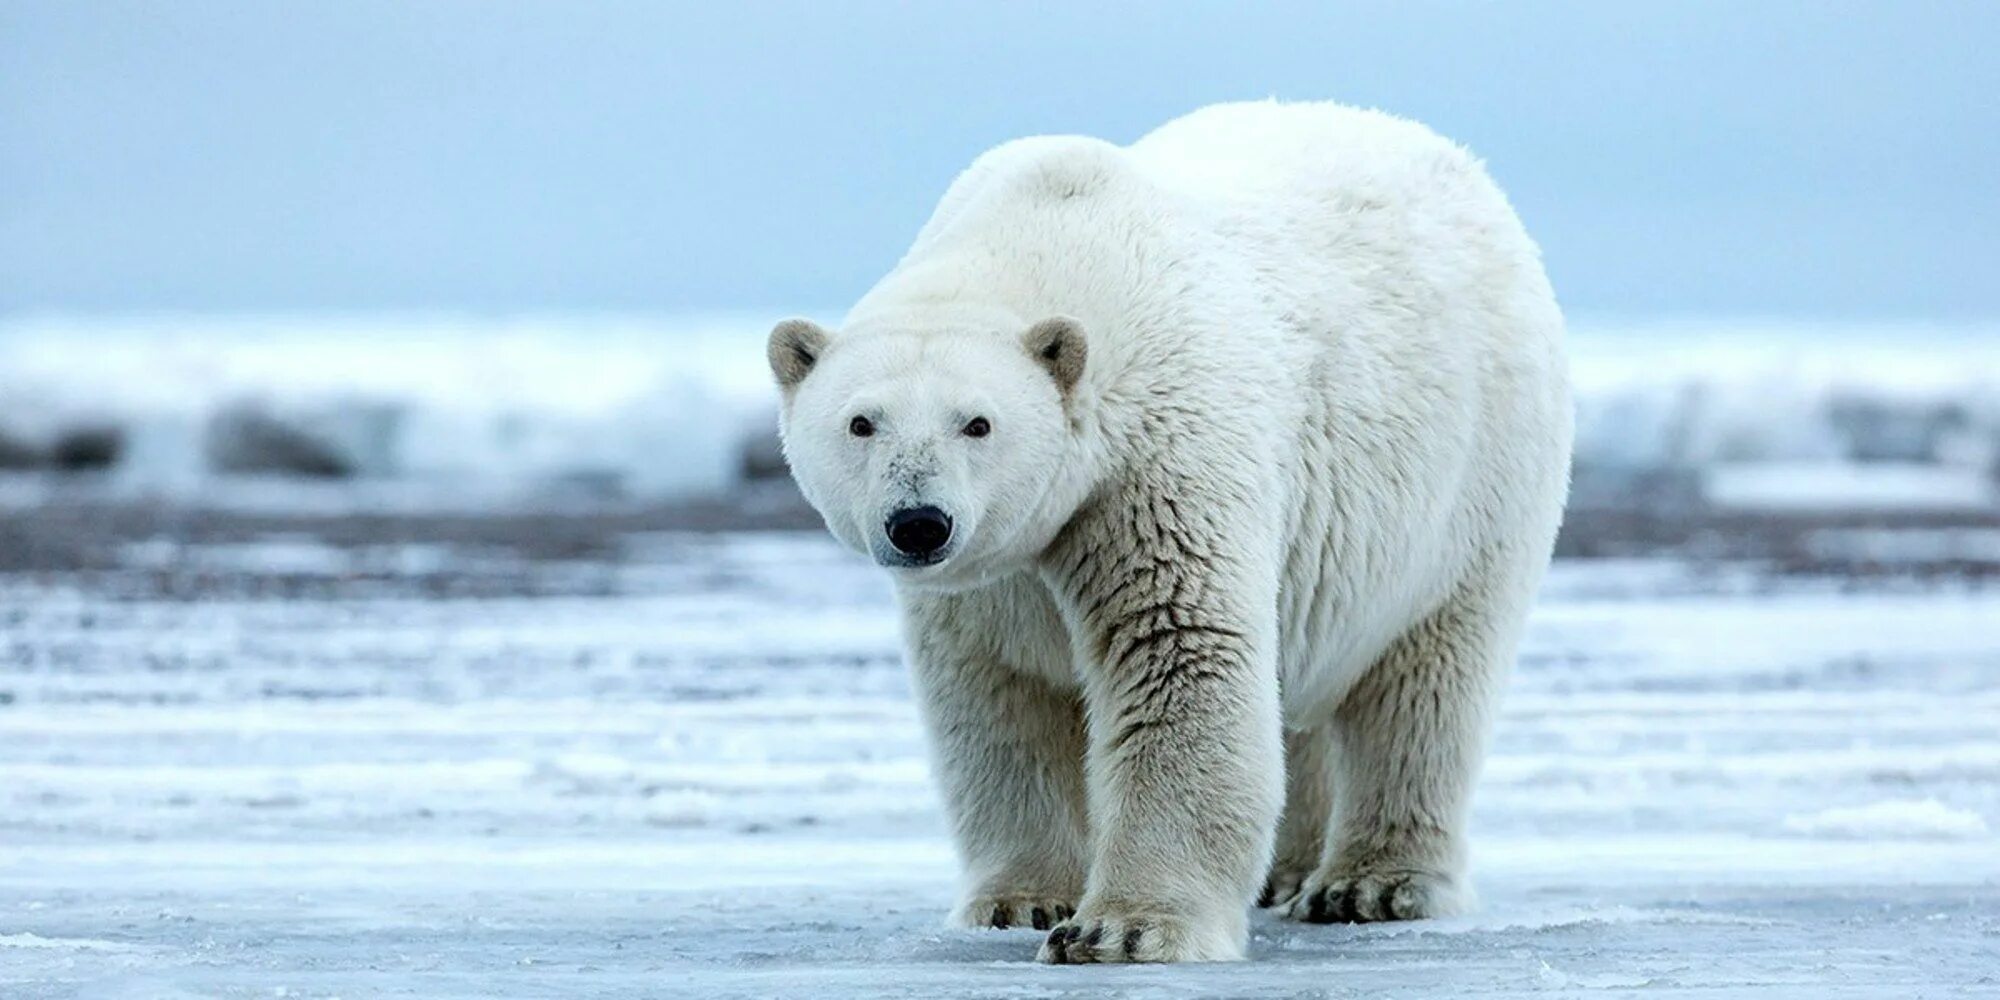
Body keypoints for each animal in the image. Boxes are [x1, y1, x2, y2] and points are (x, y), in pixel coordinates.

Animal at [772, 99, 1568, 960]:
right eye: (862, 422)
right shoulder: (997, 572)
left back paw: (1372, 885)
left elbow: (1178, 649)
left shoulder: (1156, 463)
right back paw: (1289, 872)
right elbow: (1001, 695)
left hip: (1472, 480)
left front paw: (1123, 929)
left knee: (1426, 681)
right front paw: (1020, 901)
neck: (1055, 235)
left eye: (977, 423)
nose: (919, 523)